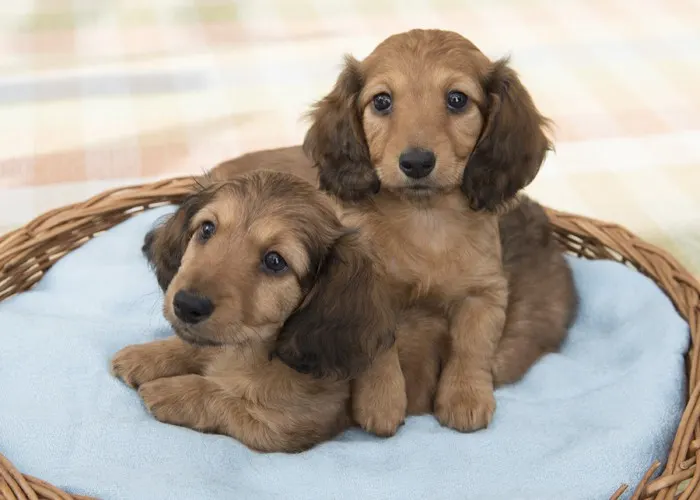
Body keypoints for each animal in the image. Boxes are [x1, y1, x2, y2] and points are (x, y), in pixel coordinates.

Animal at [110, 171, 396, 454]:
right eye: (207, 229)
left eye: (275, 261)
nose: (187, 305)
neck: (250, 350)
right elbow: (194, 346)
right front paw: (144, 356)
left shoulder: (284, 425)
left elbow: (221, 397)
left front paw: (170, 391)